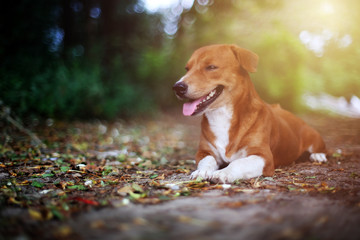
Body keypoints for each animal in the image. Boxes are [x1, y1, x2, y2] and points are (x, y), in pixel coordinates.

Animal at [173, 44, 328, 184]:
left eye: (211, 67)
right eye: (187, 69)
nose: (177, 87)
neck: (223, 116)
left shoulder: (263, 156)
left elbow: (239, 163)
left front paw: (223, 173)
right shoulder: (204, 151)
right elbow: (207, 160)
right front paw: (202, 171)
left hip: (312, 135)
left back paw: (318, 155)